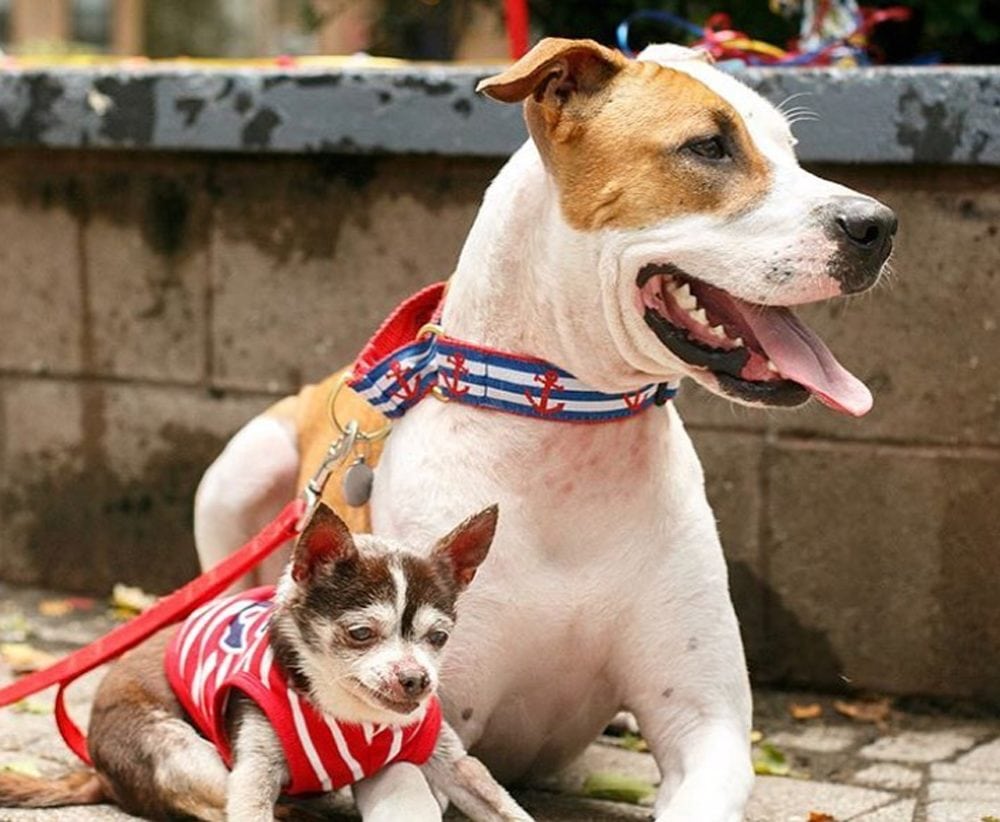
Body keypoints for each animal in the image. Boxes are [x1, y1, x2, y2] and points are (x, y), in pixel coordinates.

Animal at [191, 40, 896, 822]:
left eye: (793, 149)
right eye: (708, 147)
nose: (877, 225)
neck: (567, 426)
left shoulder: (705, 724)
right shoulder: (407, 723)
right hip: (236, 474)